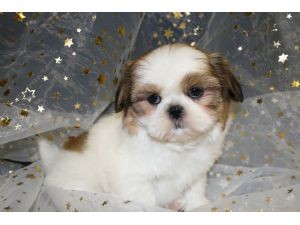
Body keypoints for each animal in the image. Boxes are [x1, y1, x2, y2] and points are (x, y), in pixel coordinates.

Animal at [38, 43, 243, 211]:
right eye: (153, 99)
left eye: (195, 91)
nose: (175, 110)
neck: (176, 146)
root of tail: (54, 163)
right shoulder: (133, 179)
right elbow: (143, 200)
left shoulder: (197, 171)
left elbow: (194, 187)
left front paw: (197, 204)